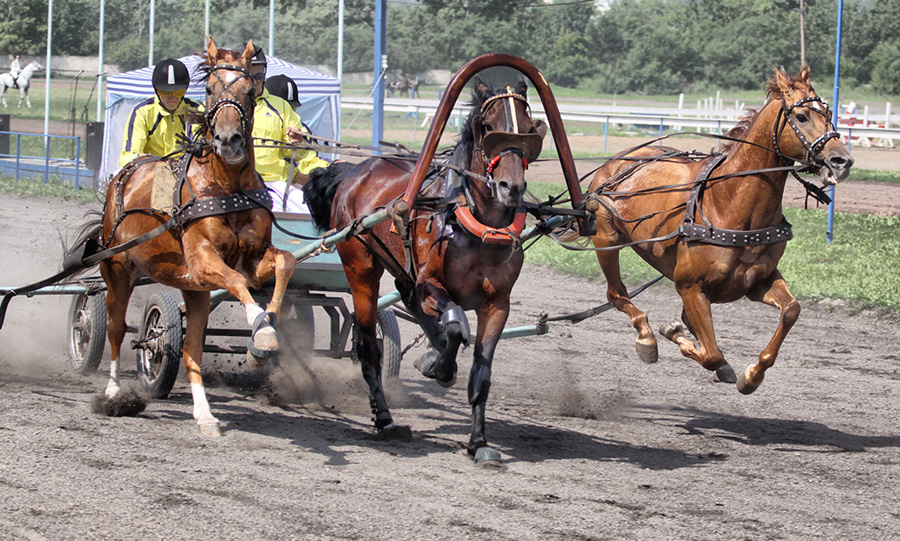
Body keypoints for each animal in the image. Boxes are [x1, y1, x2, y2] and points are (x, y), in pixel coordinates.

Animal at [85, 38, 296, 434]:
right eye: (210, 89)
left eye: (249, 91)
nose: (229, 140)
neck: (226, 186)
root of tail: (125, 173)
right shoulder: (202, 261)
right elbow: (236, 283)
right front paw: (260, 329)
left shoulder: (249, 260)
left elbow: (284, 263)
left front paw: (265, 334)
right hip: (118, 269)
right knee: (115, 329)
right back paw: (113, 393)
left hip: (194, 291)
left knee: (191, 349)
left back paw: (205, 414)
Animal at [302, 76, 544, 464]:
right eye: (487, 127)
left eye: (528, 129)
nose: (511, 187)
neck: (477, 226)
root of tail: (353, 171)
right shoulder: (431, 284)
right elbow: (456, 324)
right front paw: (441, 367)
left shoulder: (497, 305)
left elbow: (482, 372)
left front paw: (479, 443)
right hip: (361, 266)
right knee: (369, 344)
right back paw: (385, 419)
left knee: (406, 297)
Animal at [584, 66, 852, 392]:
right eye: (801, 116)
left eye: (828, 113)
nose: (842, 160)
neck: (731, 204)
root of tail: (613, 164)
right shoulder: (690, 286)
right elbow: (711, 353)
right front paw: (675, 336)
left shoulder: (758, 281)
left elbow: (791, 309)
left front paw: (753, 374)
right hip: (606, 238)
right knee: (616, 294)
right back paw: (646, 336)